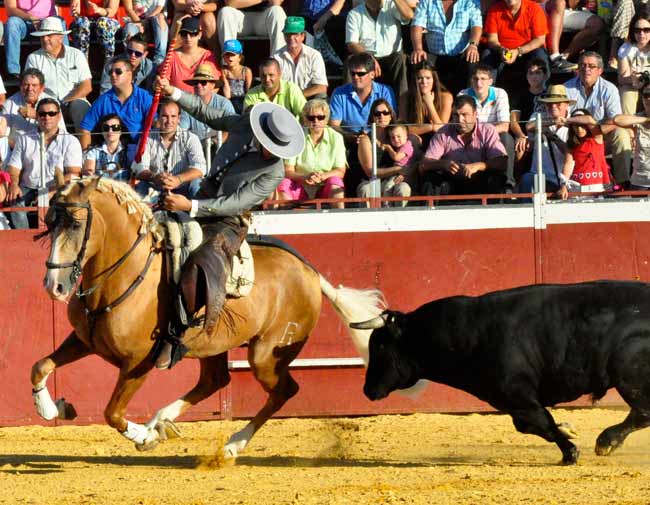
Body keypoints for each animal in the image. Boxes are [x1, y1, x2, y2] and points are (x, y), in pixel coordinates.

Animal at [31, 174, 384, 456]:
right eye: (49, 224)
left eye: (76, 224)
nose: (54, 286)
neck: (125, 273)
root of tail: (311, 273)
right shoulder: (83, 340)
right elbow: (40, 366)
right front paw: (52, 407)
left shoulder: (137, 363)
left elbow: (112, 413)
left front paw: (143, 437)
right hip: (212, 345)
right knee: (215, 380)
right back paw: (163, 420)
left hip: (266, 354)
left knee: (284, 390)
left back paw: (231, 444)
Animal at [354, 282, 650, 462]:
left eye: (380, 346)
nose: (367, 390)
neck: (467, 334)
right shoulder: (512, 400)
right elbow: (531, 425)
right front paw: (568, 431)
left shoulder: (518, 395)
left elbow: (542, 422)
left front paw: (570, 452)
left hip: (627, 373)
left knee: (642, 411)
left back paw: (606, 441)